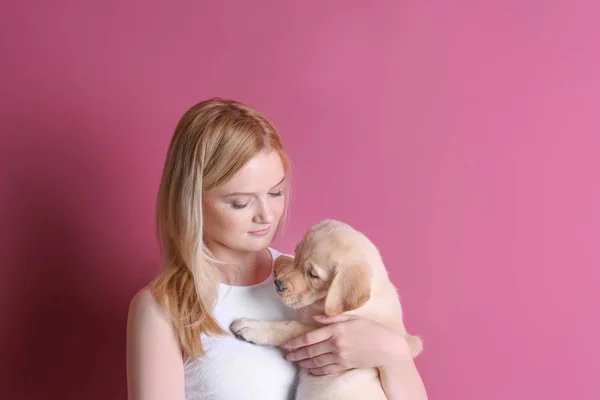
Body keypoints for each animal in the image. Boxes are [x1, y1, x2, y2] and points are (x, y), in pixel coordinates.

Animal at [230, 220, 422, 398]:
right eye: (296, 254)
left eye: (313, 274)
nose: (278, 285)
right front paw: (280, 262)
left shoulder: (323, 331)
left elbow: (290, 327)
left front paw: (253, 327)